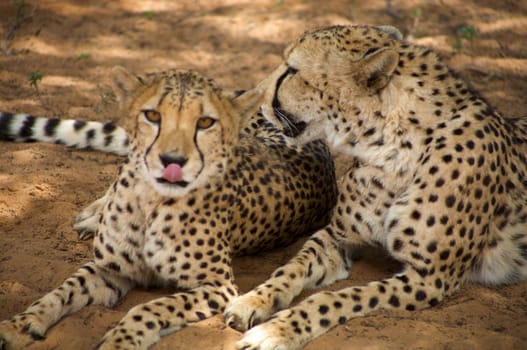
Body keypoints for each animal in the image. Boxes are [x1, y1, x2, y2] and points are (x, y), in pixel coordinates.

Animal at [0, 66, 338, 350]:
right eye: (153, 116)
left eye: (205, 122)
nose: (172, 159)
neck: (151, 199)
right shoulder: (109, 268)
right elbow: (63, 289)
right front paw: (21, 324)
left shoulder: (218, 286)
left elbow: (147, 307)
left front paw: (120, 341)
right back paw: (92, 216)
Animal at [224, 24, 527, 350]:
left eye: (292, 69)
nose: (252, 95)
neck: (389, 147)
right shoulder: (336, 236)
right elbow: (292, 266)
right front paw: (254, 299)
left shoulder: (431, 278)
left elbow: (337, 298)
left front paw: (277, 330)